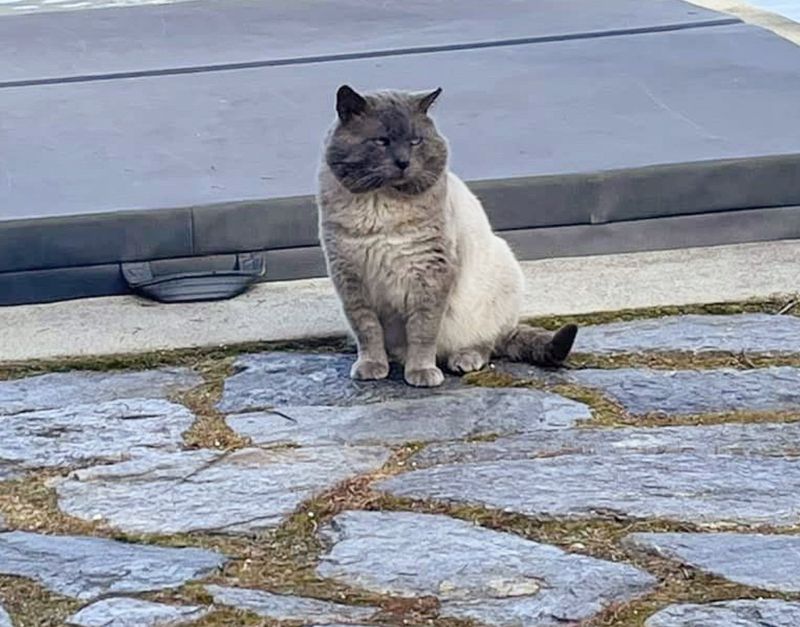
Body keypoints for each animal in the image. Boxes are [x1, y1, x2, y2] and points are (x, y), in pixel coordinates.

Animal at [314, 83, 576, 388]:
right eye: (381, 141)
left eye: (415, 141)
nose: (403, 162)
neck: (382, 209)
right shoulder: (351, 279)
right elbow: (368, 332)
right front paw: (372, 367)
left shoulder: (429, 276)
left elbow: (423, 332)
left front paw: (421, 373)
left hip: (499, 277)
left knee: (488, 344)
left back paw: (463, 360)